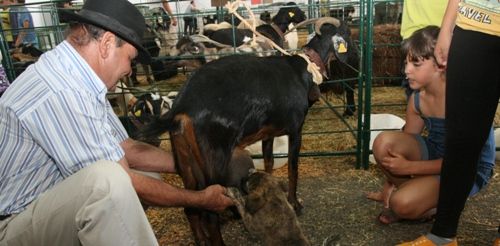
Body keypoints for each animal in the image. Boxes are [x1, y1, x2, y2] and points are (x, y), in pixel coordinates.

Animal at [139, 16, 346, 245]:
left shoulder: (269, 133)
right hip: (214, 158)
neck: (304, 68)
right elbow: (293, 167)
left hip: (185, 160)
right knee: (210, 211)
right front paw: (295, 203)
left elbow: (268, 162)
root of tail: (182, 106)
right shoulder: (296, 129)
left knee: (191, 207)